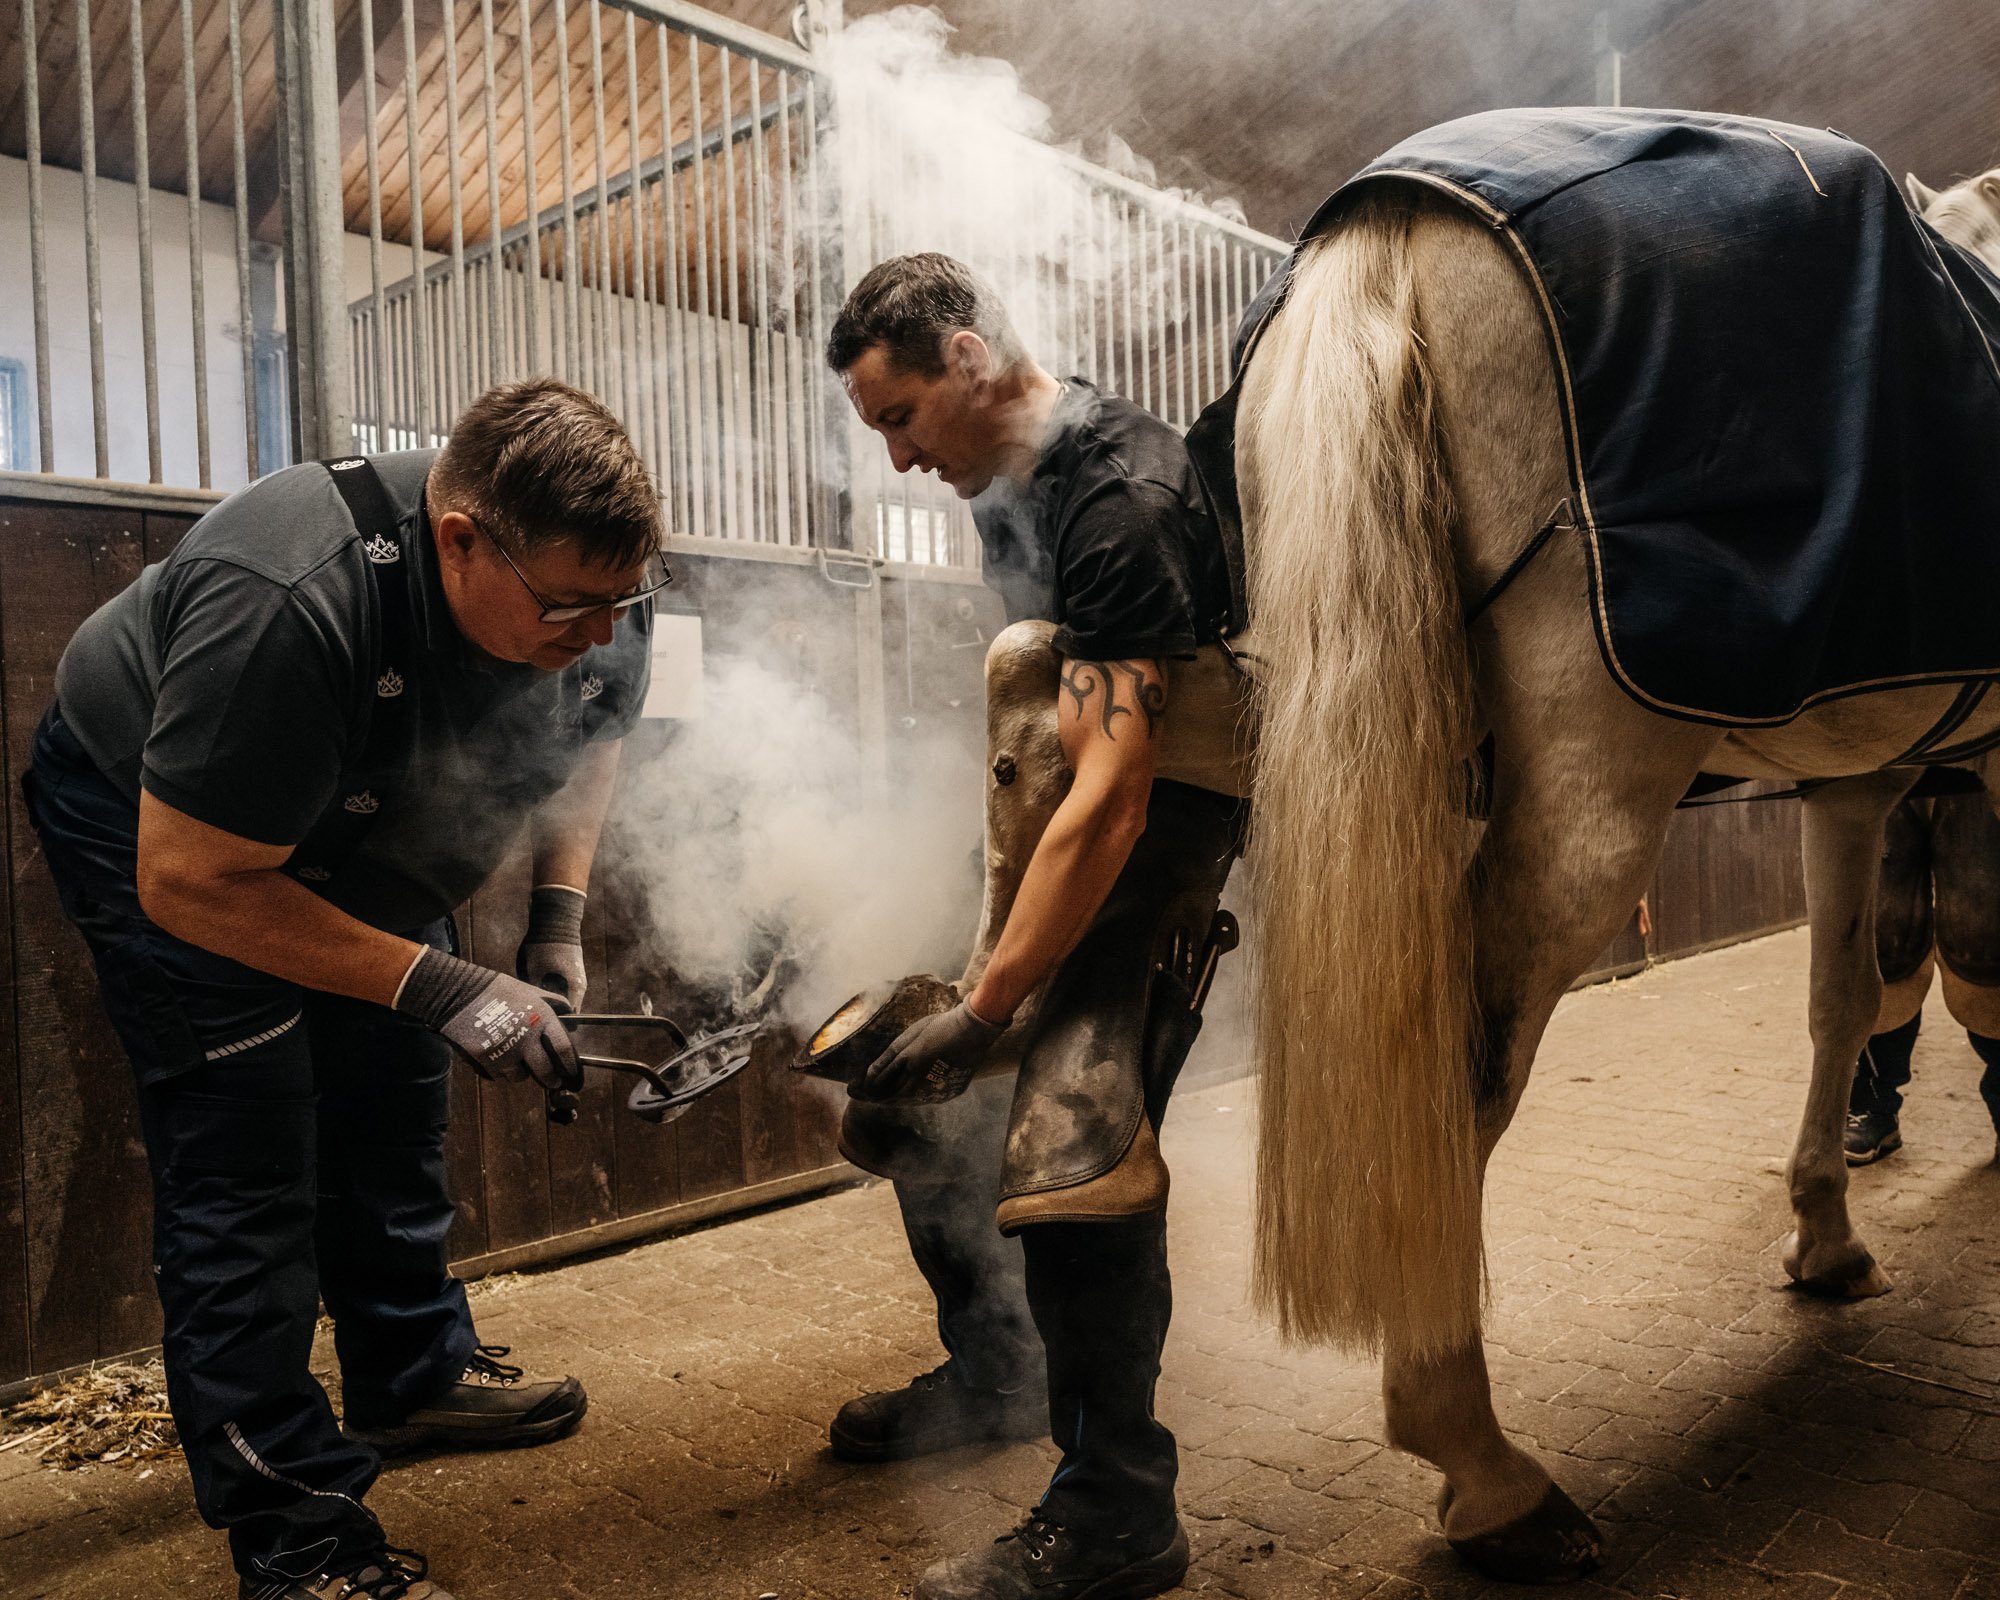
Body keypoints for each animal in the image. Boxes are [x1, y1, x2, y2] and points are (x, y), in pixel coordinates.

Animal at [1232, 162, 2000, 1576]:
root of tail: (1393, 223)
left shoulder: (1850, 786)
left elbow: (1836, 1003)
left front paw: (1822, 1234)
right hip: (1590, 802)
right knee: (1465, 1075)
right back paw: (1485, 1469)